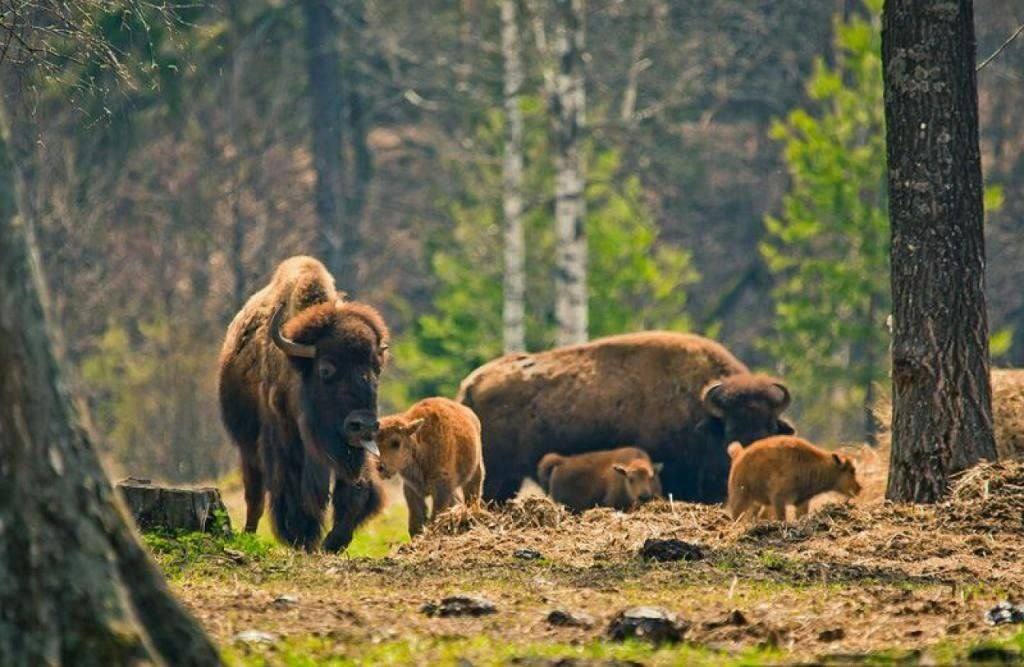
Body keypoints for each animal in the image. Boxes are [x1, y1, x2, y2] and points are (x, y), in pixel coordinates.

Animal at [218, 256, 389, 553]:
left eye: (375, 369)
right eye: (325, 369)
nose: (364, 425)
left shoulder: (353, 453)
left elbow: (357, 491)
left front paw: (333, 542)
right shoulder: (285, 443)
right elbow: (293, 493)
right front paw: (304, 539)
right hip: (247, 448)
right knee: (255, 496)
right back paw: (249, 534)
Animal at [378, 397, 485, 536]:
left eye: (396, 442)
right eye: (374, 443)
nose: (380, 467)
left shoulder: (441, 488)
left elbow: (435, 517)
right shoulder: (412, 490)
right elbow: (416, 522)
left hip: (475, 472)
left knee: (472, 495)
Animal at [724, 436, 860, 524]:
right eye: (851, 470)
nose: (858, 488)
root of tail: (739, 454)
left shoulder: (801, 502)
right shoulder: (778, 499)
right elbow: (781, 518)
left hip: (756, 503)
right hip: (741, 498)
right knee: (736, 516)